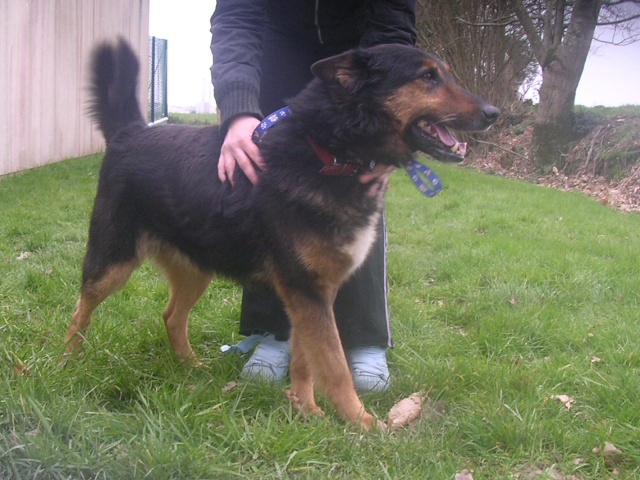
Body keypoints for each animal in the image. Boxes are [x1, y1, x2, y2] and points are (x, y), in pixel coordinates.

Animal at [65, 37, 498, 428]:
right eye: (428, 77)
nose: (495, 113)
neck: (328, 153)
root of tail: (131, 133)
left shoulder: (313, 293)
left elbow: (307, 361)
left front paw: (307, 410)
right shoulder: (306, 291)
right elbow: (335, 367)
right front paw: (364, 425)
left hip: (196, 268)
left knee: (172, 316)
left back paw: (191, 366)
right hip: (112, 262)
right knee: (80, 309)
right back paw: (69, 362)